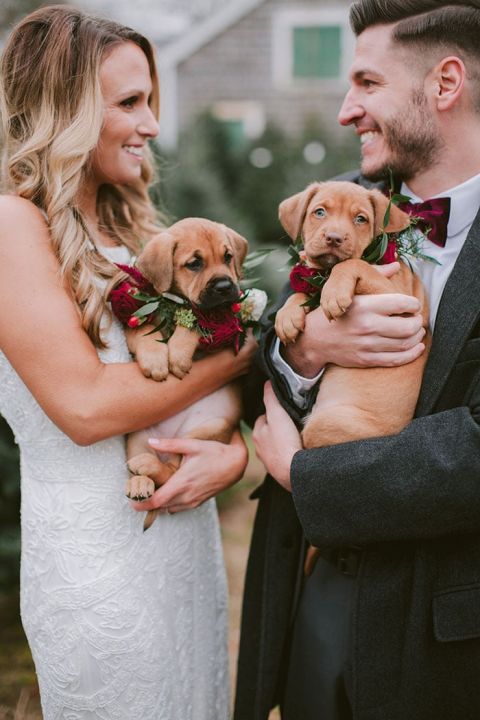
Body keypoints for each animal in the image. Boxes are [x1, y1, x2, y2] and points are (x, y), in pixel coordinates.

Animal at [124, 217, 248, 524]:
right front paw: (156, 360)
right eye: (194, 263)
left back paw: (144, 468)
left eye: (228, 257)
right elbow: (142, 329)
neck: (175, 301)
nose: (225, 286)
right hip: (139, 437)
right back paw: (139, 481)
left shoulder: (226, 326)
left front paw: (177, 354)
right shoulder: (136, 318)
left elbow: (194, 322)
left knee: (174, 470)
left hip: (205, 430)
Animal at [276, 180, 430, 450]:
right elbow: (303, 291)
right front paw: (287, 316)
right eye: (319, 212)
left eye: (361, 219)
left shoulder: (403, 302)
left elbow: (352, 264)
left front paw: (334, 293)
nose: (334, 238)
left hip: (324, 424)